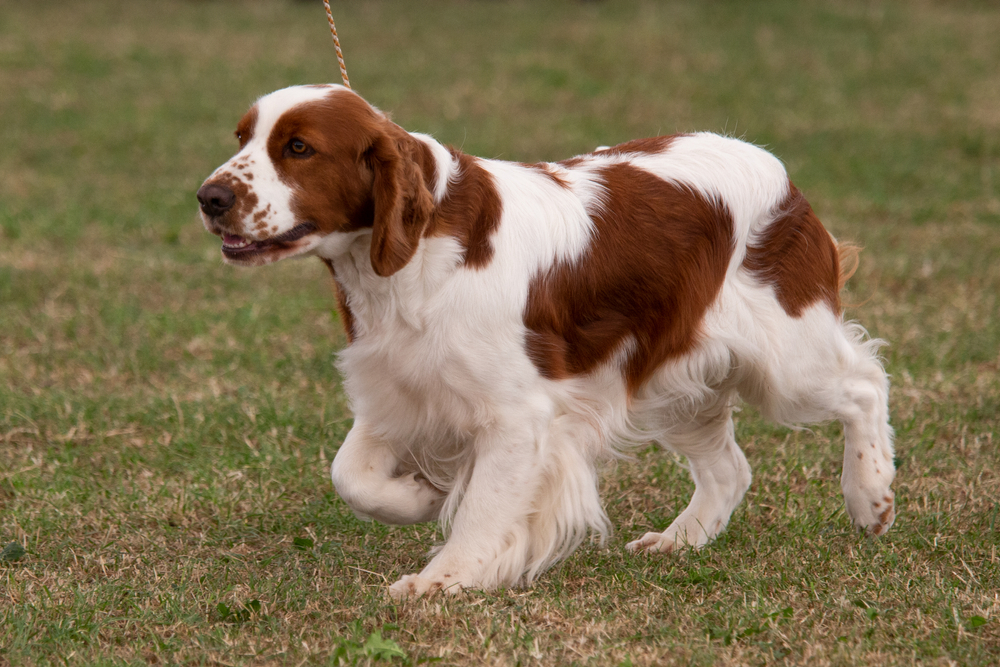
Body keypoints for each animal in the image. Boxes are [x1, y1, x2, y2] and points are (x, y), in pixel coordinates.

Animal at [197, 83, 900, 600]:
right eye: (241, 138)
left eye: (298, 147)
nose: (209, 197)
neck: (411, 258)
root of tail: (779, 173)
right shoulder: (400, 389)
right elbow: (351, 475)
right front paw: (422, 497)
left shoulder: (516, 416)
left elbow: (483, 508)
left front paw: (441, 580)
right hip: (672, 378)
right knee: (730, 468)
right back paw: (680, 539)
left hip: (785, 360)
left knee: (865, 385)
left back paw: (871, 497)